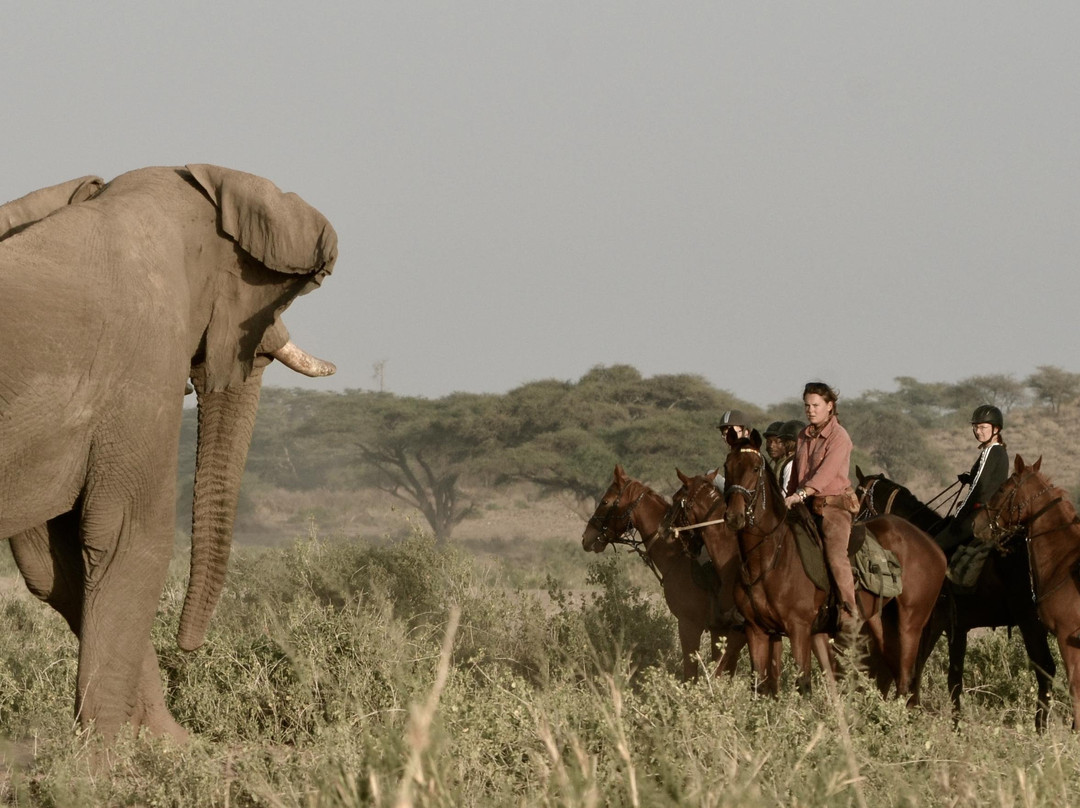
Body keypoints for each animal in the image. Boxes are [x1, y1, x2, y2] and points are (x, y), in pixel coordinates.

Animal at [717, 435, 946, 700]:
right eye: (727, 466)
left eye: (755, 468)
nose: (734, 516)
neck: (769, 558)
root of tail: (934, 547)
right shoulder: (757, 630)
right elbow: (761, 686)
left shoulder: (799, 628)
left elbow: (803, 683)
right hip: (881, 624)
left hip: (910, 624)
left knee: (906, 679)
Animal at [856, 466, 1055, 731]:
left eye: (857, 493)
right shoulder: (956, 627)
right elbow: (953, 679)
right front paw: (954, 726)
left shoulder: (932, 624)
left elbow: (916, 667)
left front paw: (910, 712)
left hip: (1030, 622)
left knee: (1046, 670)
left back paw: (1041, 730)